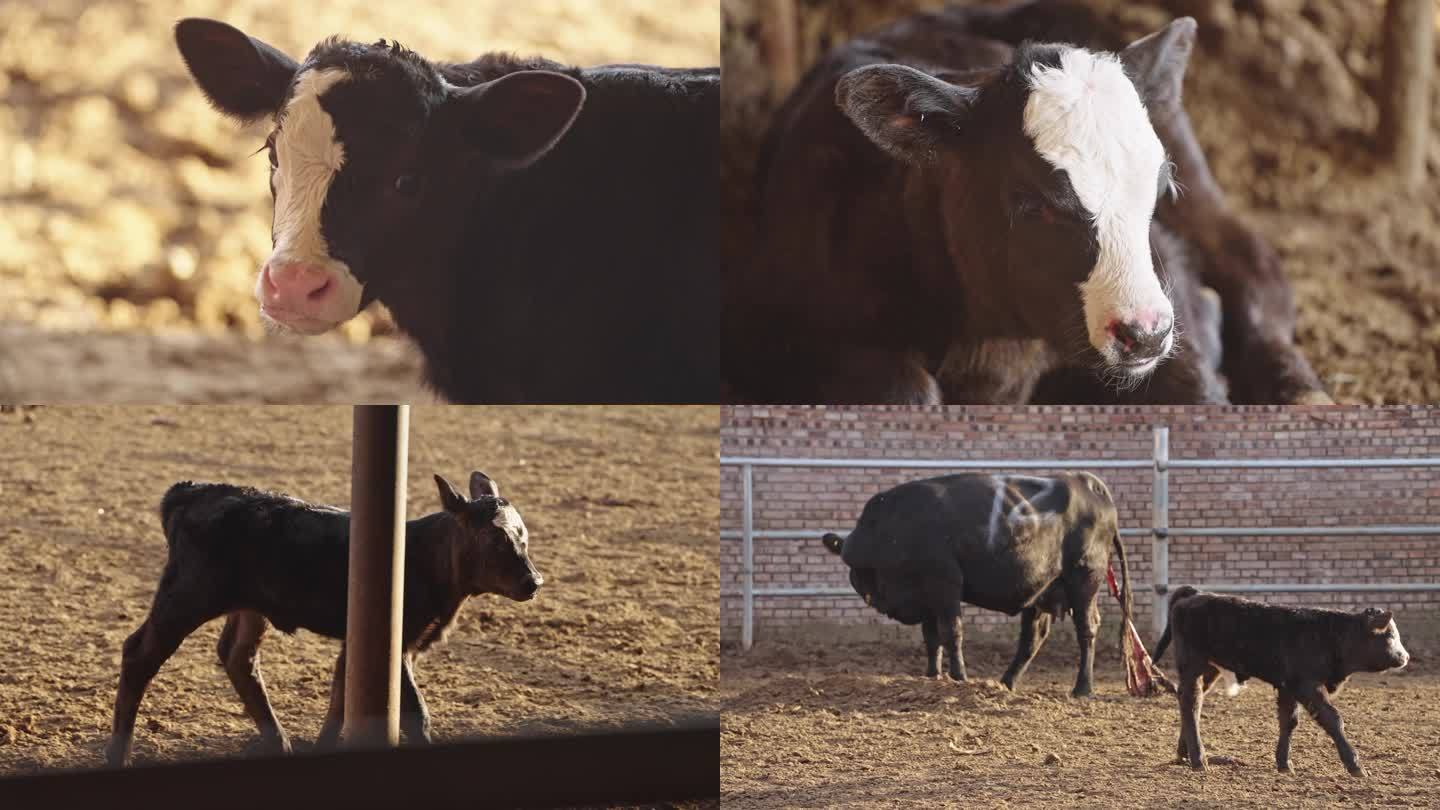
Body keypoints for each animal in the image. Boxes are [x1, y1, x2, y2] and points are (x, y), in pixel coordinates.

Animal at [101, 469, 541, 760]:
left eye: (523, 535)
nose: (533, 581)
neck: (424, 557)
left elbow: (340, 698)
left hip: (249, 607)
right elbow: (416, 714)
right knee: (139, 654)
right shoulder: (396, 642)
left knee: (239, 658)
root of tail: (193, 492)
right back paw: (119, 754)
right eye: (494, 538)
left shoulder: (365, 639)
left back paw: (279, 743)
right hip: (187, 594)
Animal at [731, 0, 1324, 403]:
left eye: (1156, 193)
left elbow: (1196, 383)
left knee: (1254, 268)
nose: (1145, 334)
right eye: (1031, 204)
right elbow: (905, 389)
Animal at [823, 469, 1134, 697]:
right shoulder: (927, 597)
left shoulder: (945, 585)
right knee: (1032, 639)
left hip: (1083, 581)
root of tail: (1086, 482)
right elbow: (931, 638)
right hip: (1042, 589)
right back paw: (1005, 683)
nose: (872, 596)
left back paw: (1083, 688)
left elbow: (951, 633)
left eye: (862, 570)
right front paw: (932, 676)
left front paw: (958, 677)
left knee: (1086, 629)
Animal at [1152, 582, 1411, 772]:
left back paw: (1184, 752)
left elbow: (1289, 721)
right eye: (1390, 636)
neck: (1329, 635)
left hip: (1209, 668)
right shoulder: (1307, 685)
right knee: (1191, 702)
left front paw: (1284, 762)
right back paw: (1199, 759)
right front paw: (1355, 765)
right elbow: (1332, 719)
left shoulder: (1288, 687)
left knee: (1189, 702)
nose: (1405, 656)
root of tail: (1195, 594)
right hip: (1193, 664)